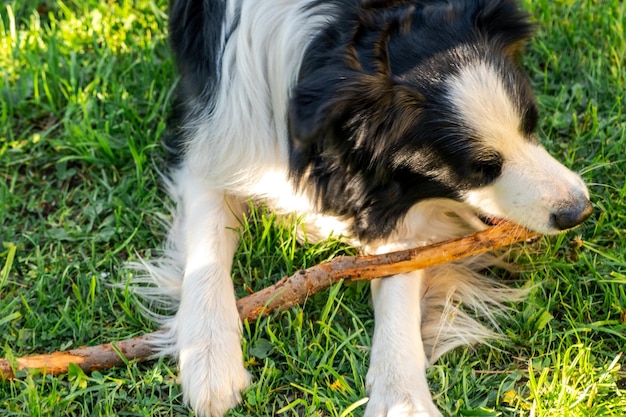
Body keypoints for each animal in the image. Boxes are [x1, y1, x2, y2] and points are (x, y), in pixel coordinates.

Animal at [135, 0, 588, 416]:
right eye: (481, 169)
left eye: (531, 125)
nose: (579, 211)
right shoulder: (213, 137)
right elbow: (208, 248)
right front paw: (209, 360)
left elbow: (398, 277)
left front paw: (401, 395)